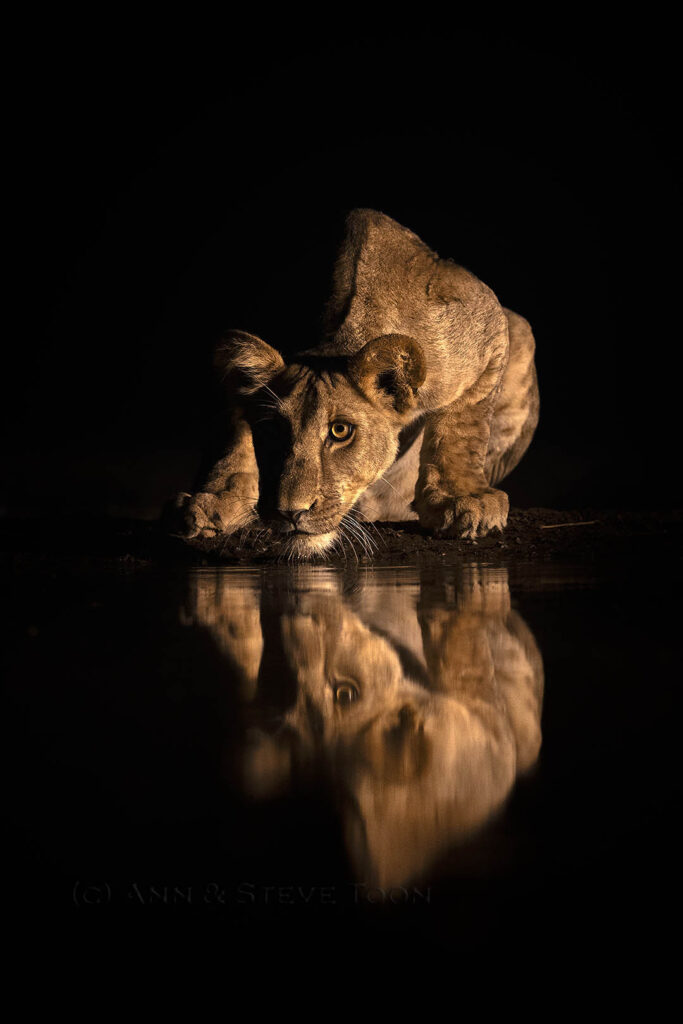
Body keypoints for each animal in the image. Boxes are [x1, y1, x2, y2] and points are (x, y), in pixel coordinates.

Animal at [176, 209, 539, 558]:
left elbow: (462, 430)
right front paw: (215, 498)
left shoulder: (489, 328)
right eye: (272, 430)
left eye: (340, 431)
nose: (291, 513)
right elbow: (231, 437)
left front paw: (462, 499)